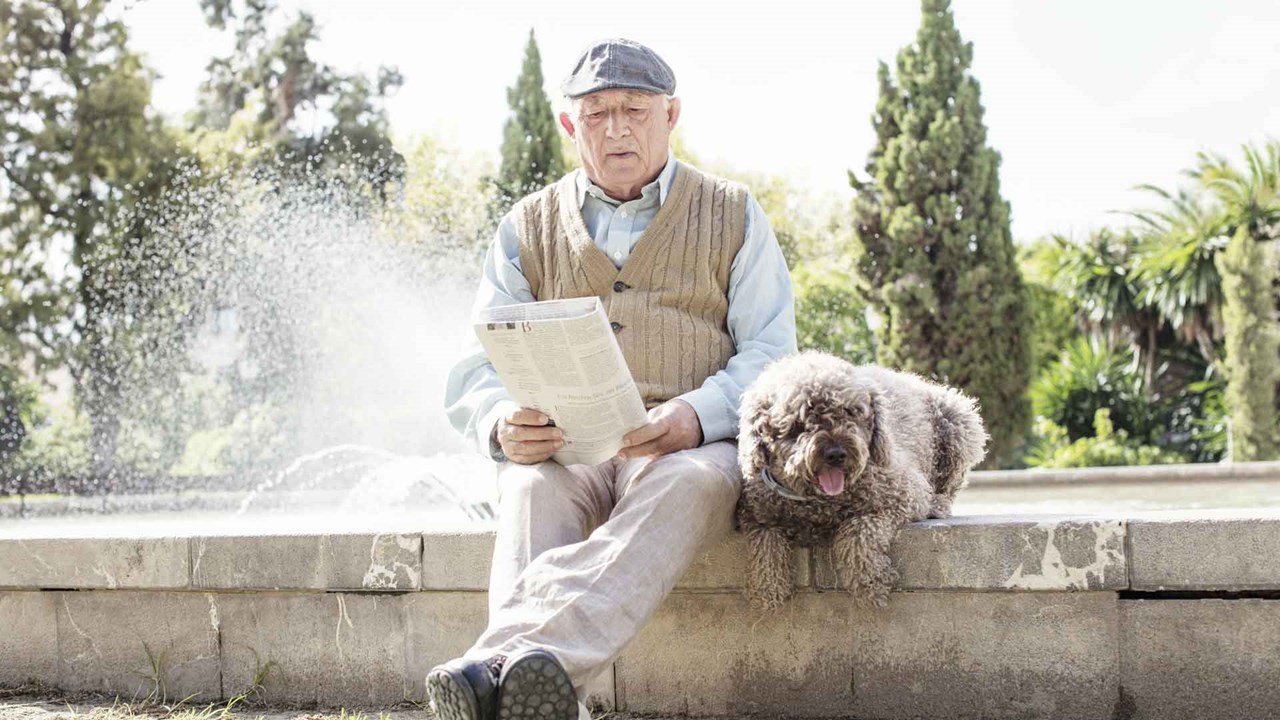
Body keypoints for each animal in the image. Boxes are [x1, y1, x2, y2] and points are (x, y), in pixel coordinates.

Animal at [737, 351, 983, 607]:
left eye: (851, 412)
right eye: (798, 422)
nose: (836, 454)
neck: (816, 502)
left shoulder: (905, 494)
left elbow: (857, 531)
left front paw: (870, 583)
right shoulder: (757, 514)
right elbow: (765, 543)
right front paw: (767, 590)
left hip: (958, 424)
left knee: (950, 484)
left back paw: (938, 503)